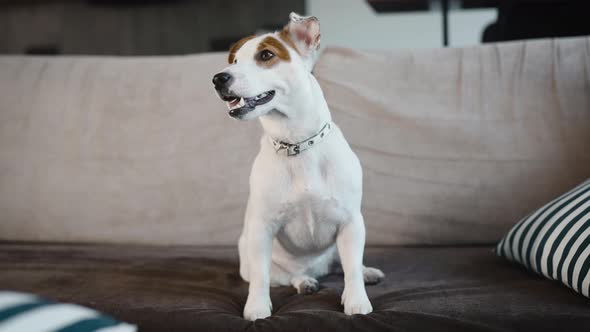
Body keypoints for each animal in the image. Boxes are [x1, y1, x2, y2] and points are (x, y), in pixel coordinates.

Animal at [213, 13, 384, 322]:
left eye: (266, 55)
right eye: (234, 60)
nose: (218, 78)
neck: (296, 144)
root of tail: (317, 268)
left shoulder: (351, 223)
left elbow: (351, 268)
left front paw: (356, 301)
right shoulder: (262, 230)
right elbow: (260, 278)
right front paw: (257, 308)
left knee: (344, 264)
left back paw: (366, 273)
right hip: (255, 257)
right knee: (284, 275)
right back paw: (305, 281)